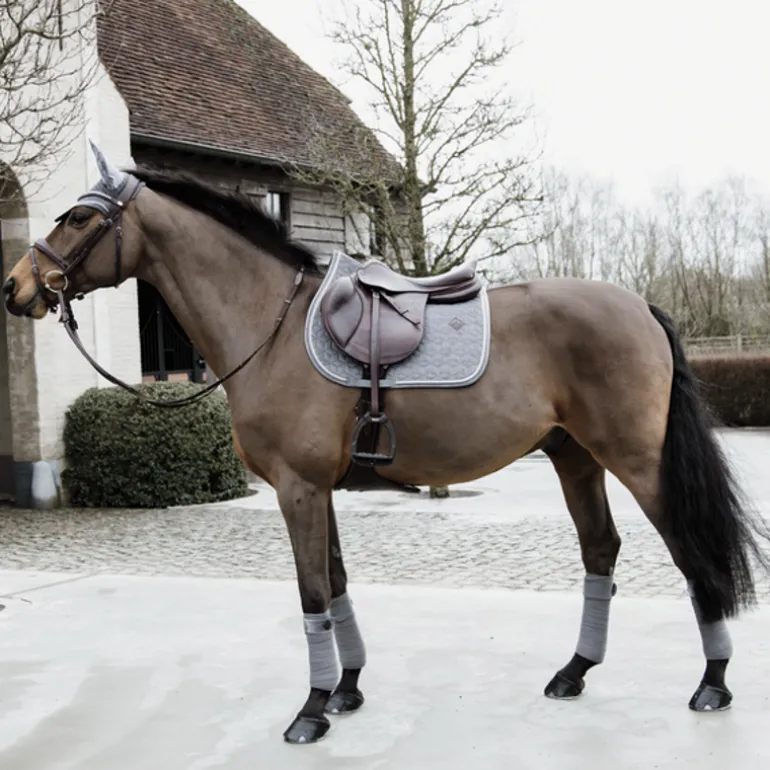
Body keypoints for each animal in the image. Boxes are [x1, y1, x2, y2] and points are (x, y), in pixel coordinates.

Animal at [4, 144, 769, 745]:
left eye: (78, 217)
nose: (15, 286)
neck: (271, 329)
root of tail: (639, 305)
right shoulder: (318, 490)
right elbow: (338, 583)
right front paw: (345, 689)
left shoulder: (298, 489)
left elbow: (312, 591)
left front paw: (311, 710)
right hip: (574, 458)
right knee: (601, 552)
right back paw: (574, 672)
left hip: (636, 461)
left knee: (691, 550)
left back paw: (713, 683)